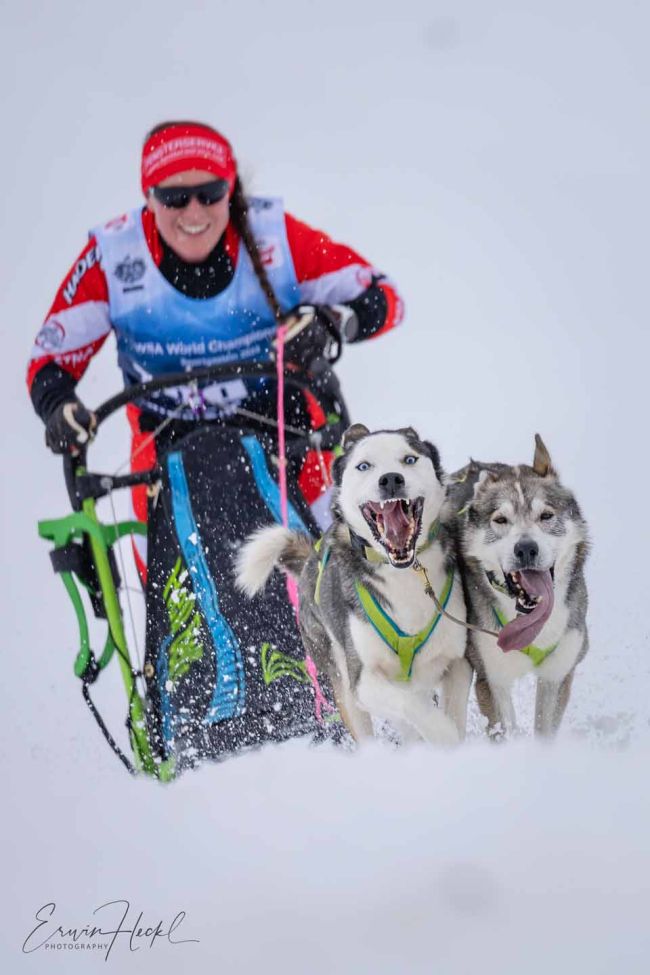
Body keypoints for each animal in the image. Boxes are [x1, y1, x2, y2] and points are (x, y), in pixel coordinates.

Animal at [236, 424, 471, 746]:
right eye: (364, 466)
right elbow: (412, 706)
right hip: (342, 685)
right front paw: (443, 735)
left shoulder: (458, 661)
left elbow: (452, 713)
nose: (391, 479)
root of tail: (309, 562)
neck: (403, 574)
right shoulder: (362, 679)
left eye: (409, 459)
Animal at [446, 434, 589, 737]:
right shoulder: (492, 678)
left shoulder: (557, 675)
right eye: (500, 519)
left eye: (546, 516)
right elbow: (505, 727)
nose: (525, 548)